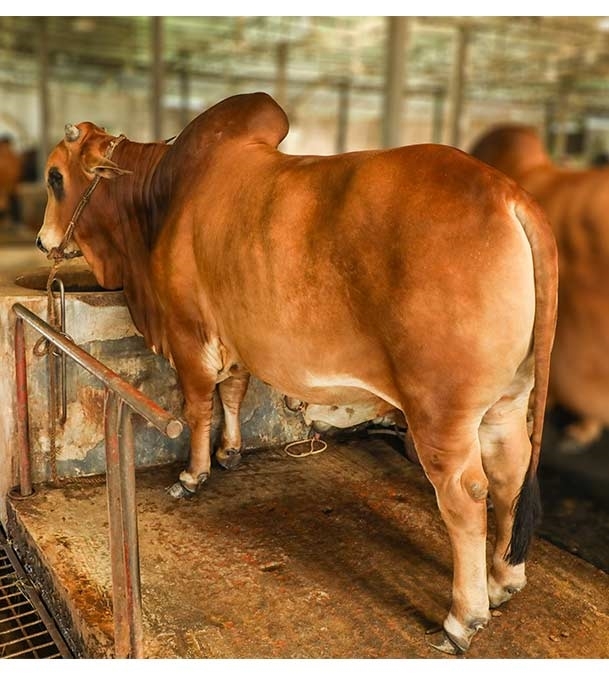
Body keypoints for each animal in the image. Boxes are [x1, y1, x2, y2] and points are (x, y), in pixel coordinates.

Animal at [35, 93, 557, 654]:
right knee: (510, 471)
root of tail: (510, 196)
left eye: (55, 177)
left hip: (441, 412)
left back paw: (463, 617)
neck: (159, 200)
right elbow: (233, 393)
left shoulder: (188, 337)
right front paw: (230, 453)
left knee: (466, 496)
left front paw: (192, 474)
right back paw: (504, 580)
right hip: (507, 401)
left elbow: (197, 407)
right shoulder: (235, 340)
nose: (43, 242)